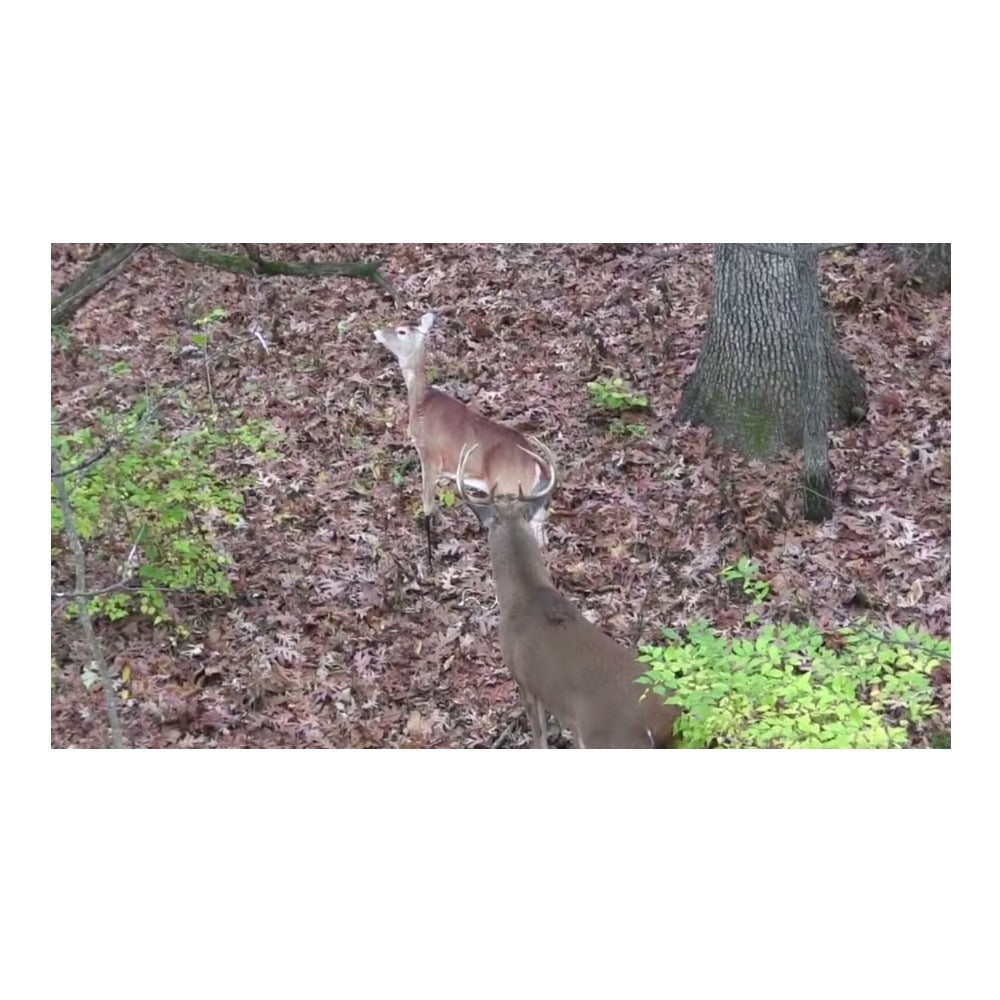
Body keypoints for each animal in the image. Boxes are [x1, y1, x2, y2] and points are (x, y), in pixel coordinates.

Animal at [373, 312, 548, 563]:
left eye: (401, 331)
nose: (375, 332)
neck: (420, 402)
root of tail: (537, 465)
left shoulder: (429, 453)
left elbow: (427, 502)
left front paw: (429, 558)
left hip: (509, 488)